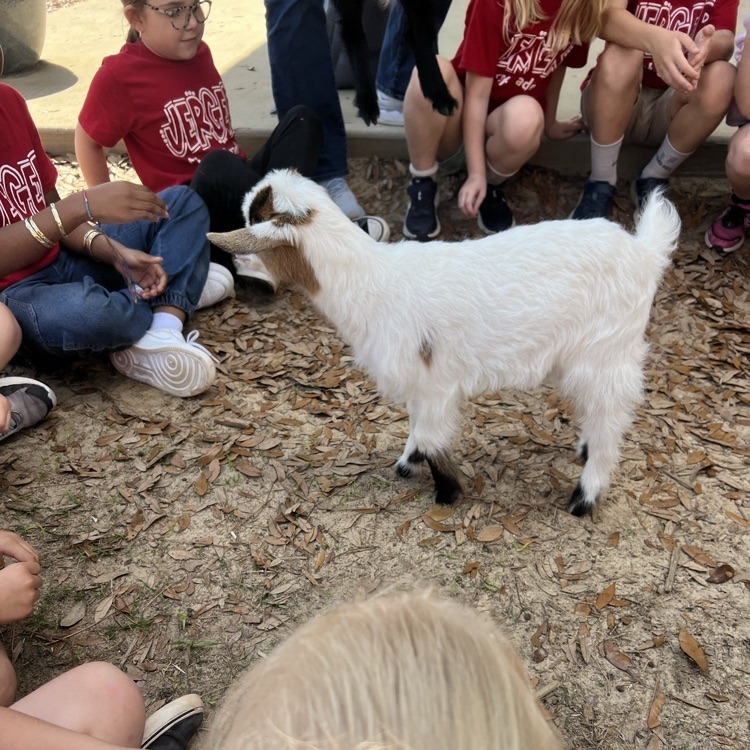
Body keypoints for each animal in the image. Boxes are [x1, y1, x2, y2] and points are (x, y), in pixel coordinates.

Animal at [208, 170, 680, 516]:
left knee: (611, 420)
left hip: (607, 351)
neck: (371, 283)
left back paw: (584, 497)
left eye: (252, 238)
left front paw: (446, 492)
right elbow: (417, 426)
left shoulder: (435, 381)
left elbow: (433, 436)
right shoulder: (419, 383)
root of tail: (645, 252)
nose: (238, 273)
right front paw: (407, 462)